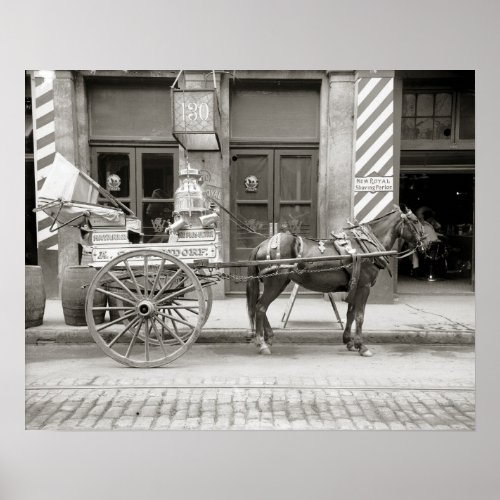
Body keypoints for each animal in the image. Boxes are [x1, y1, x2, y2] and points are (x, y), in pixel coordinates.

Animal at [246, 205, 426, 358]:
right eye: (416, 221)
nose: (425, 241)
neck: (365, 246)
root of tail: (262, 245)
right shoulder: (364, 286)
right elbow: (360, 315)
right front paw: (362, 346)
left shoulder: (355, 285)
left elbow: (350, 314)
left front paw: (349, 341)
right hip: (275, 282)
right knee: (260, 307)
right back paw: (262, 343)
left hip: (279, 283)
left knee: (259, 306)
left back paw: (268, 337)